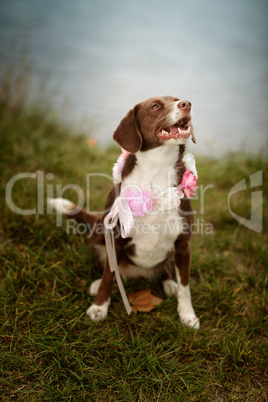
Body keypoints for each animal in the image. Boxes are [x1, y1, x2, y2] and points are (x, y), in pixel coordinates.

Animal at [49, 96, 200, 328]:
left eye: (176, 100)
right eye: (155, 106)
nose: (186, 103)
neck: (158, 170)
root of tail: (138, 274)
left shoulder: (184, 244)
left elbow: (185, 287)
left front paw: (187, 316)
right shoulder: (115, 238)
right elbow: (107, 278)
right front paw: (99, 307)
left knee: (165, 271)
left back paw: (169, 283)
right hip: (99, 236)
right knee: (109, 270)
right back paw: (96, 284)